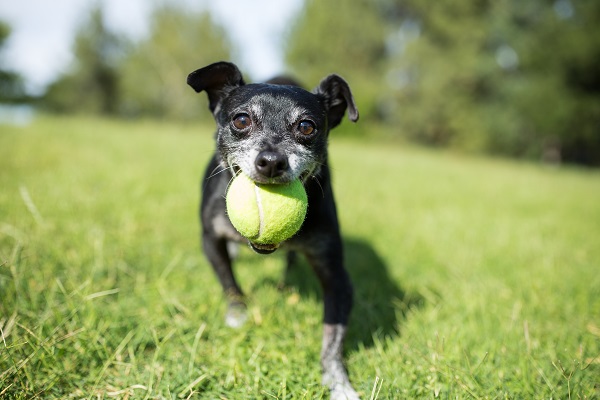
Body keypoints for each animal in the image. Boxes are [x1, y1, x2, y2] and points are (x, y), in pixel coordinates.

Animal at [186, 61, 360, 398]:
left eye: (307, 127)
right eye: (241, 120)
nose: (271, 160)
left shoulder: (336, 277)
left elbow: (333, 339)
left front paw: (338, 382)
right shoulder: (210, 239)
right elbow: (229, 282)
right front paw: (237, 312)